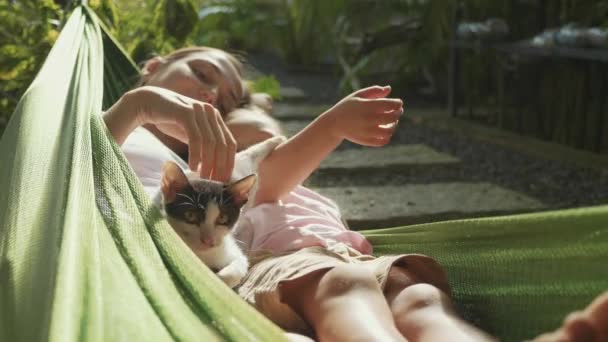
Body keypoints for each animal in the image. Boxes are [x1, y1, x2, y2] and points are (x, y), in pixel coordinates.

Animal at [159, 135, 288, 288]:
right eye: (190, 215)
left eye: (222, 218)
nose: (208, 241)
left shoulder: (232, 251)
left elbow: (239, 264)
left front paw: (218, 279)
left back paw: (276, 140)